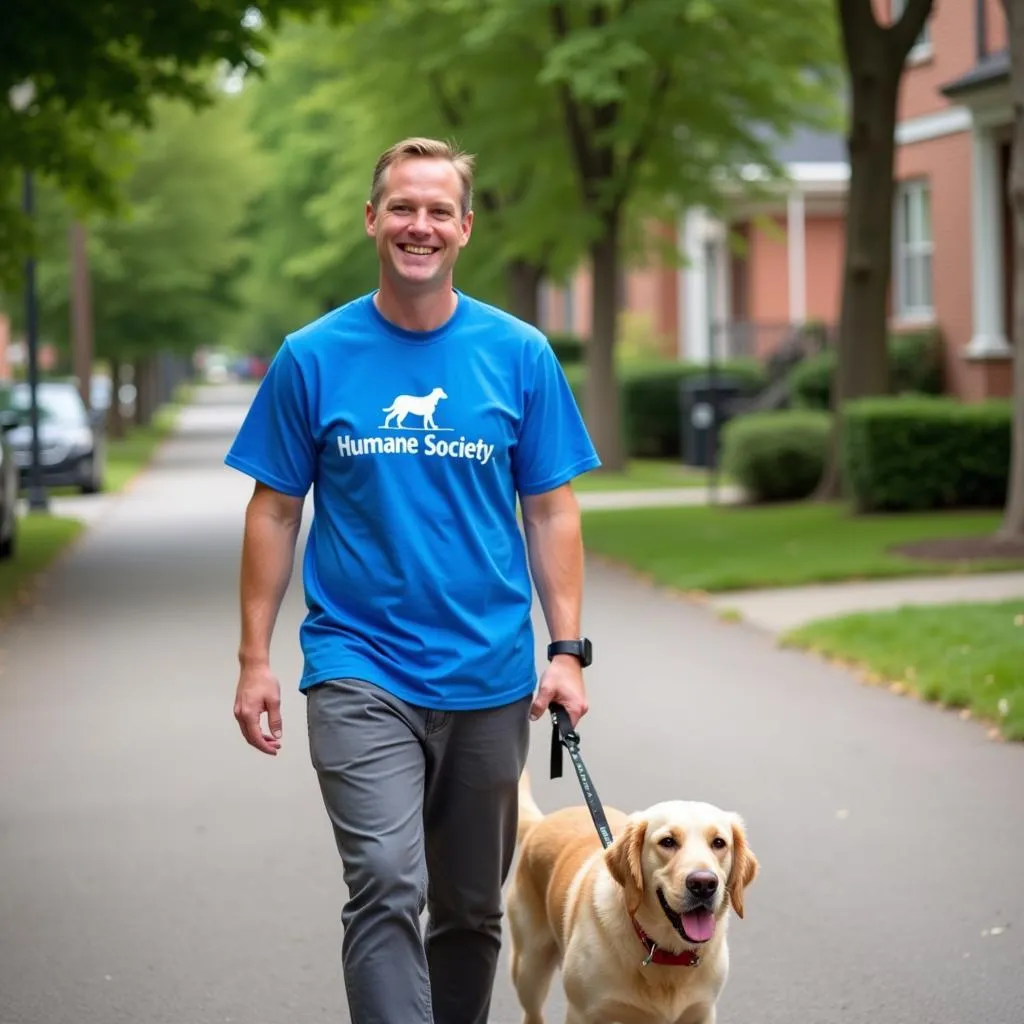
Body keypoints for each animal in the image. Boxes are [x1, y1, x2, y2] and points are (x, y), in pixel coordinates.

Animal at [507, 770, 757, 1024]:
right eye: (668, 841)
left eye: (719, 843)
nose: (703, 884)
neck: (665, 952)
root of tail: (541, 822)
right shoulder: (582, 1013)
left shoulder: (702, 1012)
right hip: (529, 968)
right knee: (532, 1011)